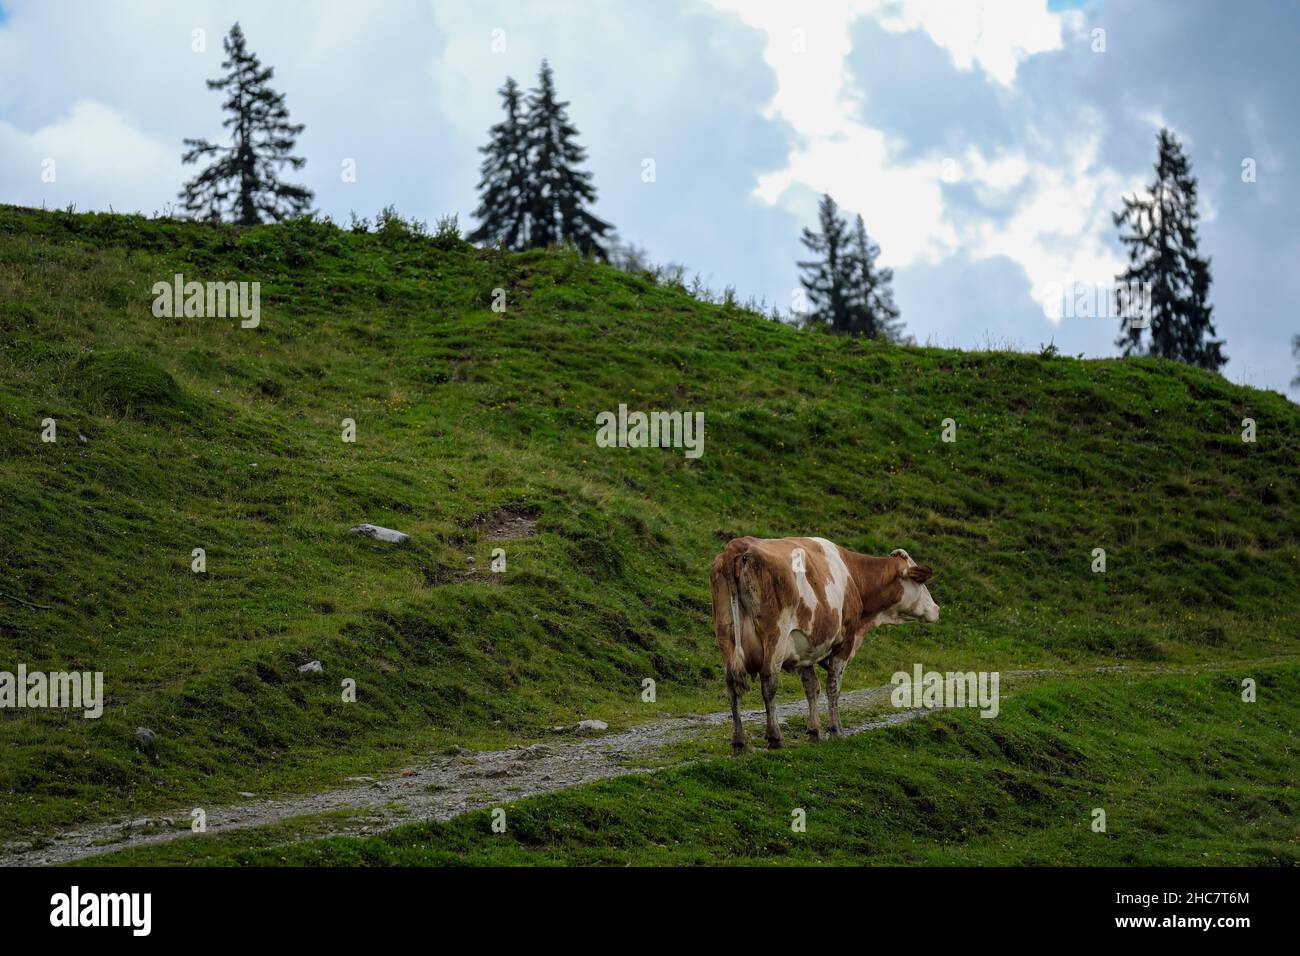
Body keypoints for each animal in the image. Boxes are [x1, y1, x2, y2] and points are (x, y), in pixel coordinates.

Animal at [709, 536, 939, 752]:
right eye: (920, 582)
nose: (936, 608)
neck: (853, 577)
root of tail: (738, 545)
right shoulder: (845, 641)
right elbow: (833, 686)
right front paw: (835, 730)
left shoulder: (806, 647)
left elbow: (811, 687)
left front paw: (814, 731)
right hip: (775, 636)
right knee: (769, 682)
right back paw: (775, 737)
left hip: (725, 634)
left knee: (732, 684)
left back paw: (739, 741)